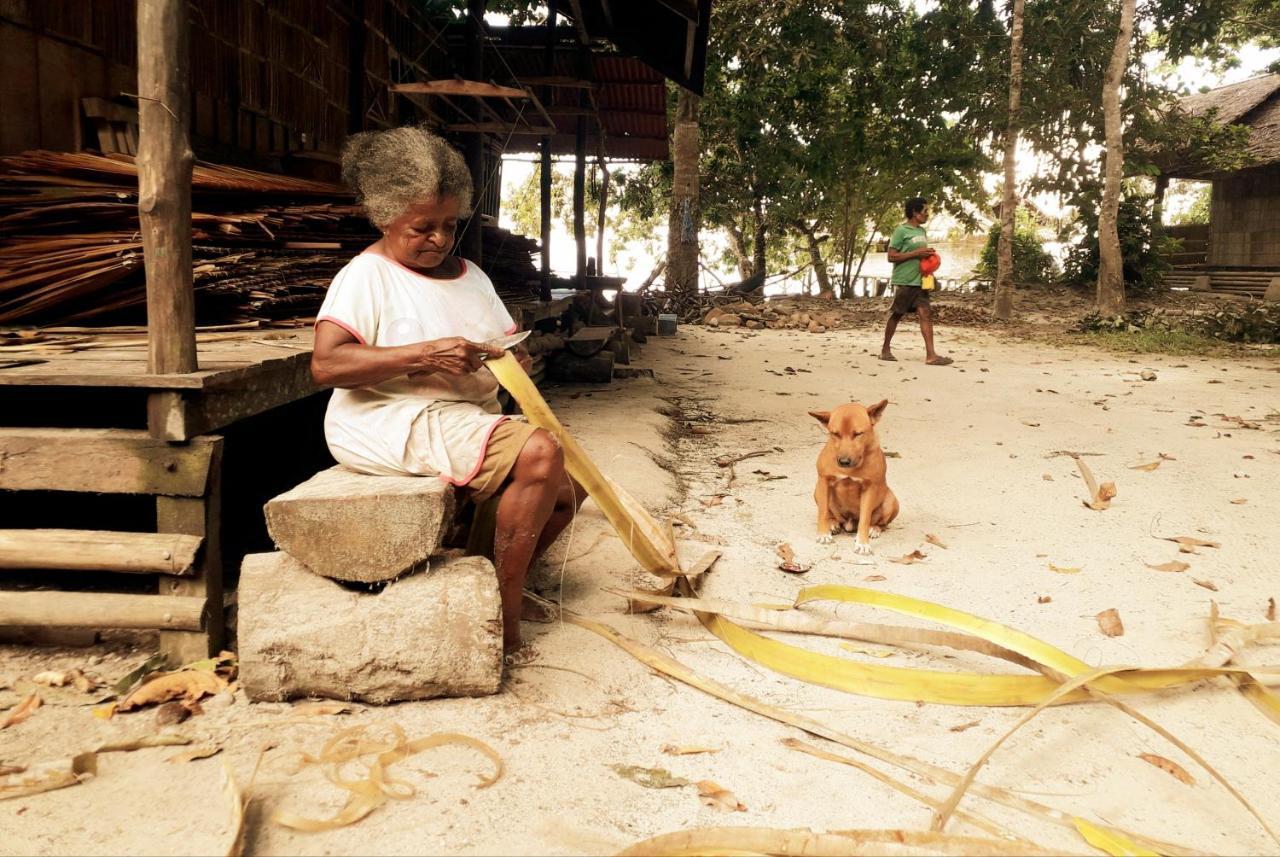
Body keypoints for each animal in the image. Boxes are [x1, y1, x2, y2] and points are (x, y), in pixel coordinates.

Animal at [808, 399, 901, 555]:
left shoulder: (869, 488)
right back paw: (832, 523)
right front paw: (823, 533)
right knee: (829, 512)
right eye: (835, 434)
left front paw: (862, 543)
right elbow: (823, 511)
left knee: (882, 524)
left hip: (891, 500)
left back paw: (874, 529)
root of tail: (849, 524)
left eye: (858, 434)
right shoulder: (823, 481)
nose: (844, 461)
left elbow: (865, 519)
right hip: (817, 491)